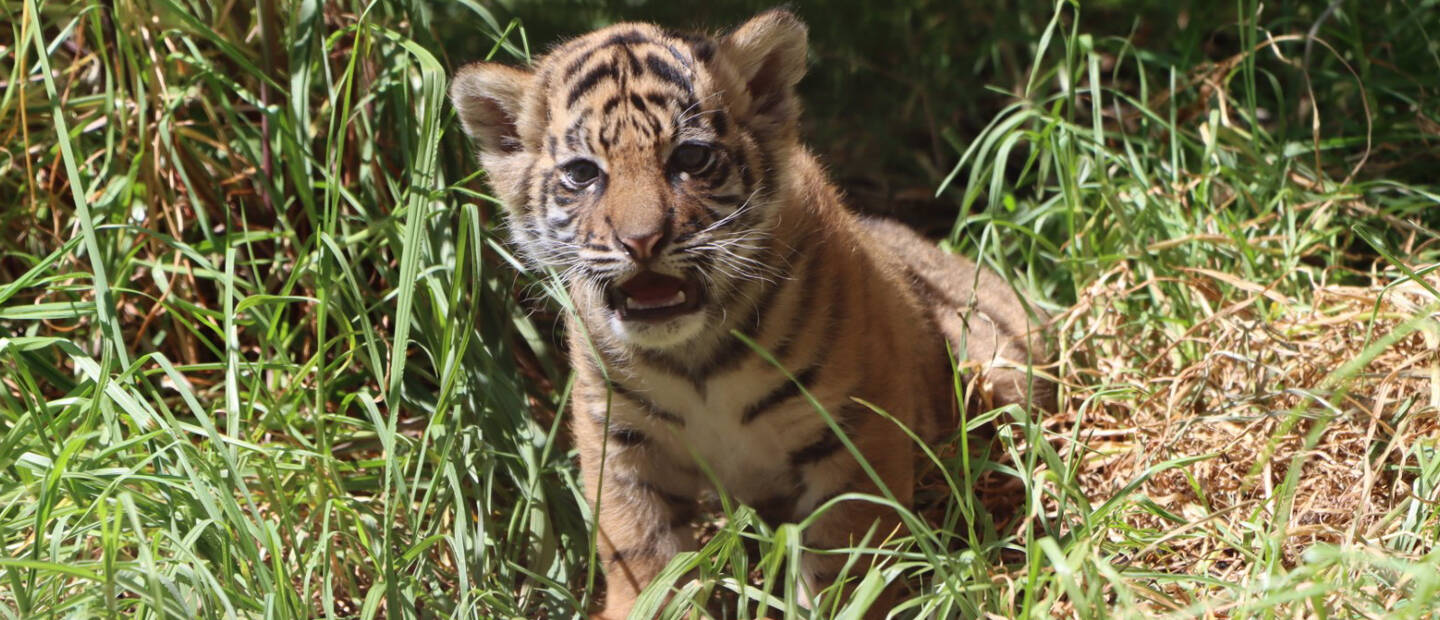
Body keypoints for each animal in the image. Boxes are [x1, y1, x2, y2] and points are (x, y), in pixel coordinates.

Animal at [450, 10, 1053, 618]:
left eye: (689, 158)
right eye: (582, 173)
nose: (641, 242)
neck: (692, 356)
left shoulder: (856, 429)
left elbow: (842, 561)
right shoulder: (621, 445)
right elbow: (643, 556)